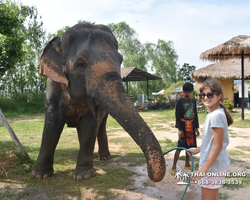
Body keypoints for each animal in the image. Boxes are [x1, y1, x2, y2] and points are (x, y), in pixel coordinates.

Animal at [32, 21, 166, 181]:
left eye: (120, 60)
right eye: (81, 64)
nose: (151, 174)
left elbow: (90, 124)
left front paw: (83, 176)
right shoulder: (53, 85)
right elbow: (52, 123)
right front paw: (40, 175)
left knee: (100, 127)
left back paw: (104, 157)